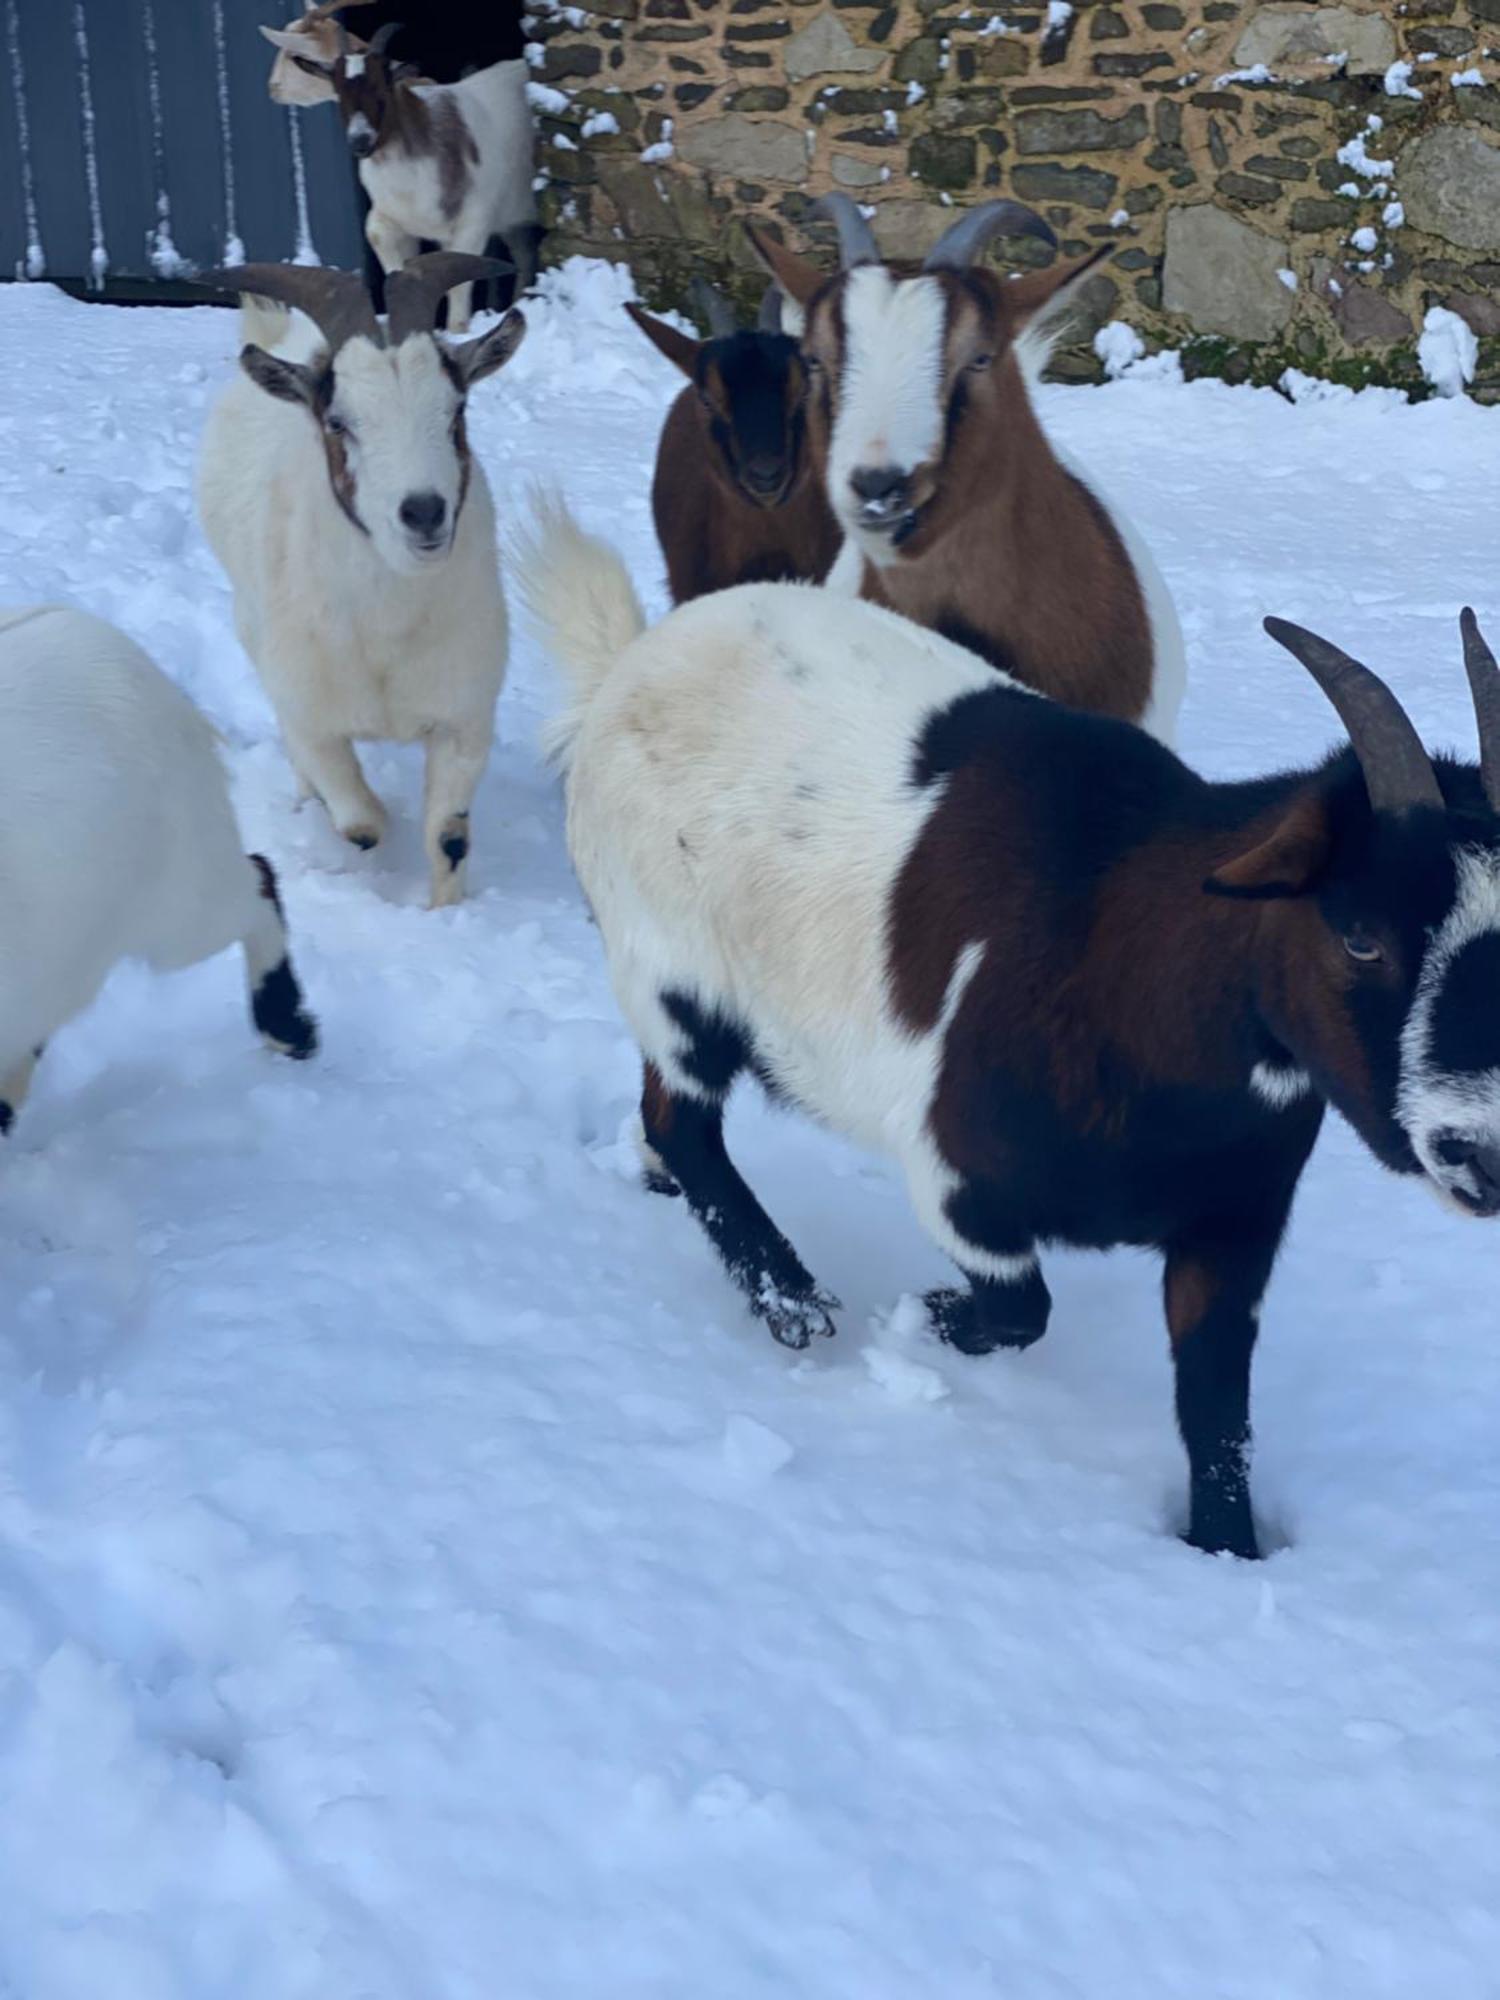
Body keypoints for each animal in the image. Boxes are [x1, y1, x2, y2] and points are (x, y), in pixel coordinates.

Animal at [197, 254, 528, 912]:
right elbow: (361, 824)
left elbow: (449, 838)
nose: (423, 512)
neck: (386, 634)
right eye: (337, 421)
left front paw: (443, 913)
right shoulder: (312, 717)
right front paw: (363, 831)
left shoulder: (464, 718)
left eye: (457, 409)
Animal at [520, 500, 1500, 1560]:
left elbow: (1215, 1409)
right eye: (1360, 936)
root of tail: (624, 664)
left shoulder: (1231, 1227)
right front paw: (920, 1315)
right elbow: (1022, 1308)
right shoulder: (959, 1179)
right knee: (686, 1121)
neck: (1125, 957)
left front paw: (1226, 1551)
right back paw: (790, 1297)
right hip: (673, 972)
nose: (1480, 1153)